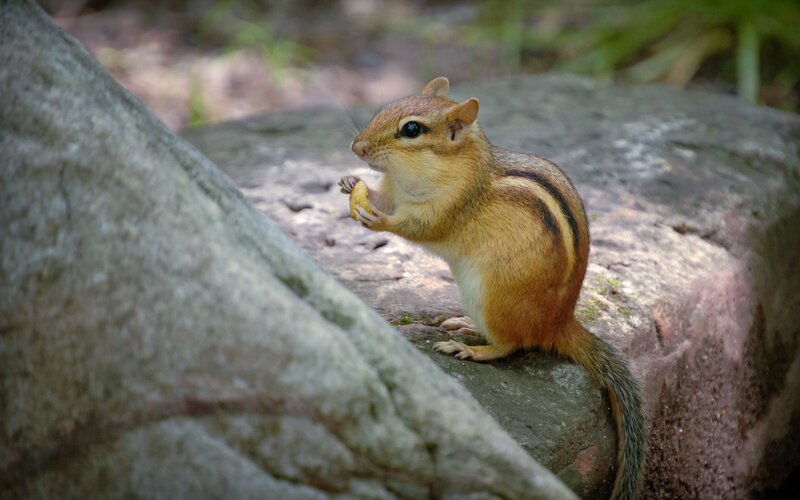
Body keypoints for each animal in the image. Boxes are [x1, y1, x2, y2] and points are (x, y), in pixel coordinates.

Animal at [338, 77, 644, 500]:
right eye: (384, 109)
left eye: (412, 129)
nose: (357, 147)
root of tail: (559, 322)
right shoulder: (395, 190)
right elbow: (381, 195)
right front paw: (351, 181)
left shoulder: (450, 208)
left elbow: (419, 227)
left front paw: (379, 219)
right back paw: (465, 326)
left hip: (492, 294)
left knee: (512, 345)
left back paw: (471, 348)